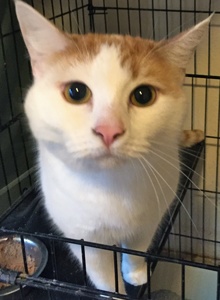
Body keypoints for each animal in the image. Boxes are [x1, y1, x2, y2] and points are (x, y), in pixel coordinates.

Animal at [15, 0, 211, 296]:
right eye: (76, 92)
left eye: (143, 95)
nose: (109, 130)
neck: (111, 187)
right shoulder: (86, 240)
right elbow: (103, 274)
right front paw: (114, 293)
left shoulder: (148, 221)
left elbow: (137, 250)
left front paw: (136, 274)